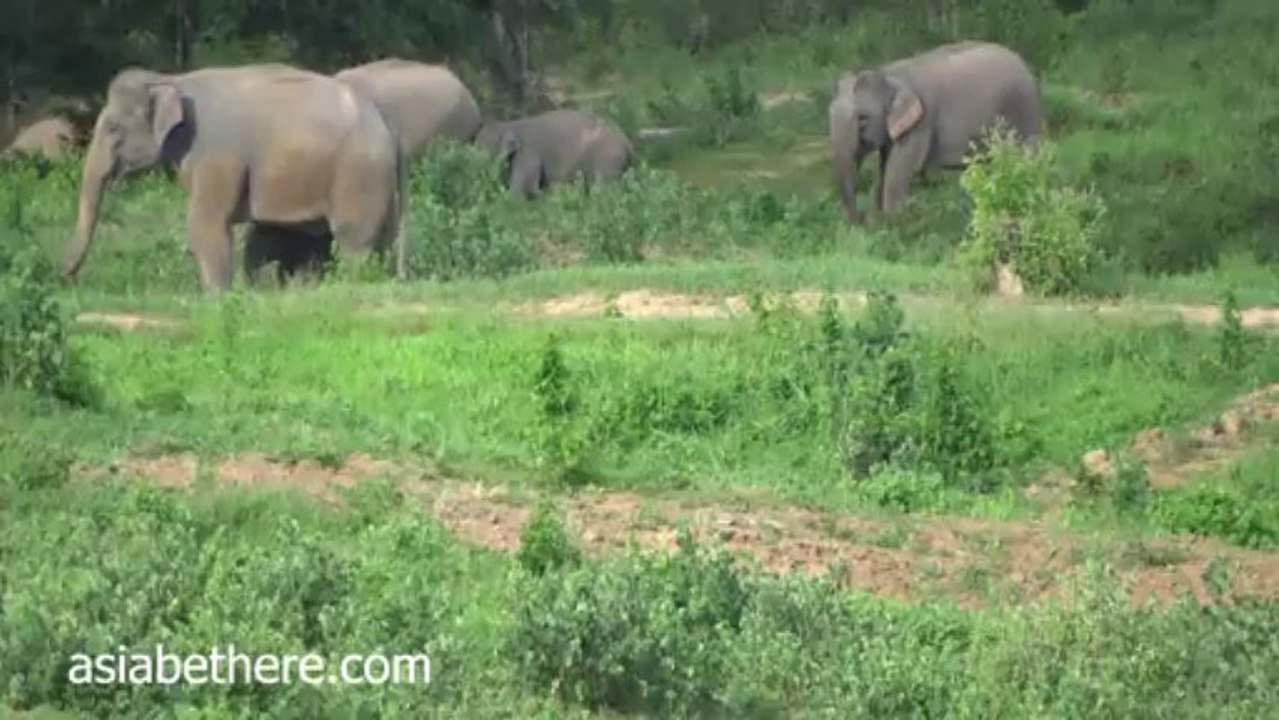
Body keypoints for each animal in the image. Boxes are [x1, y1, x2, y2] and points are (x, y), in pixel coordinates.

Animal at [60, 64, 406, 292]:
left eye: (112, 128)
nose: (65, 278)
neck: (170, 79)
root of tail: (387, 129)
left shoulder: (216, 154)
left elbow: (205, 223)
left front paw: (216, 297)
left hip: (358, 174)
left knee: (352, 239)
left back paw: (350, 285)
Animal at [473, 109, 634, 199]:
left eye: (480, 150)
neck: (509, 123)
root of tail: (628, 144)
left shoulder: (528, 155)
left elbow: (519, 192)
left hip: (608, 158)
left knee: (601, 191)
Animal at [827, 40, 1043, 224]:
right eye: (829, 114)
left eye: (863, 118)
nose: (858, 221)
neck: (889, 74)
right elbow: (884, 168)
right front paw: (876, 221)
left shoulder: (921, 122)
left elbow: (898, 170)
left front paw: (891, 222)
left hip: (1023, 110)